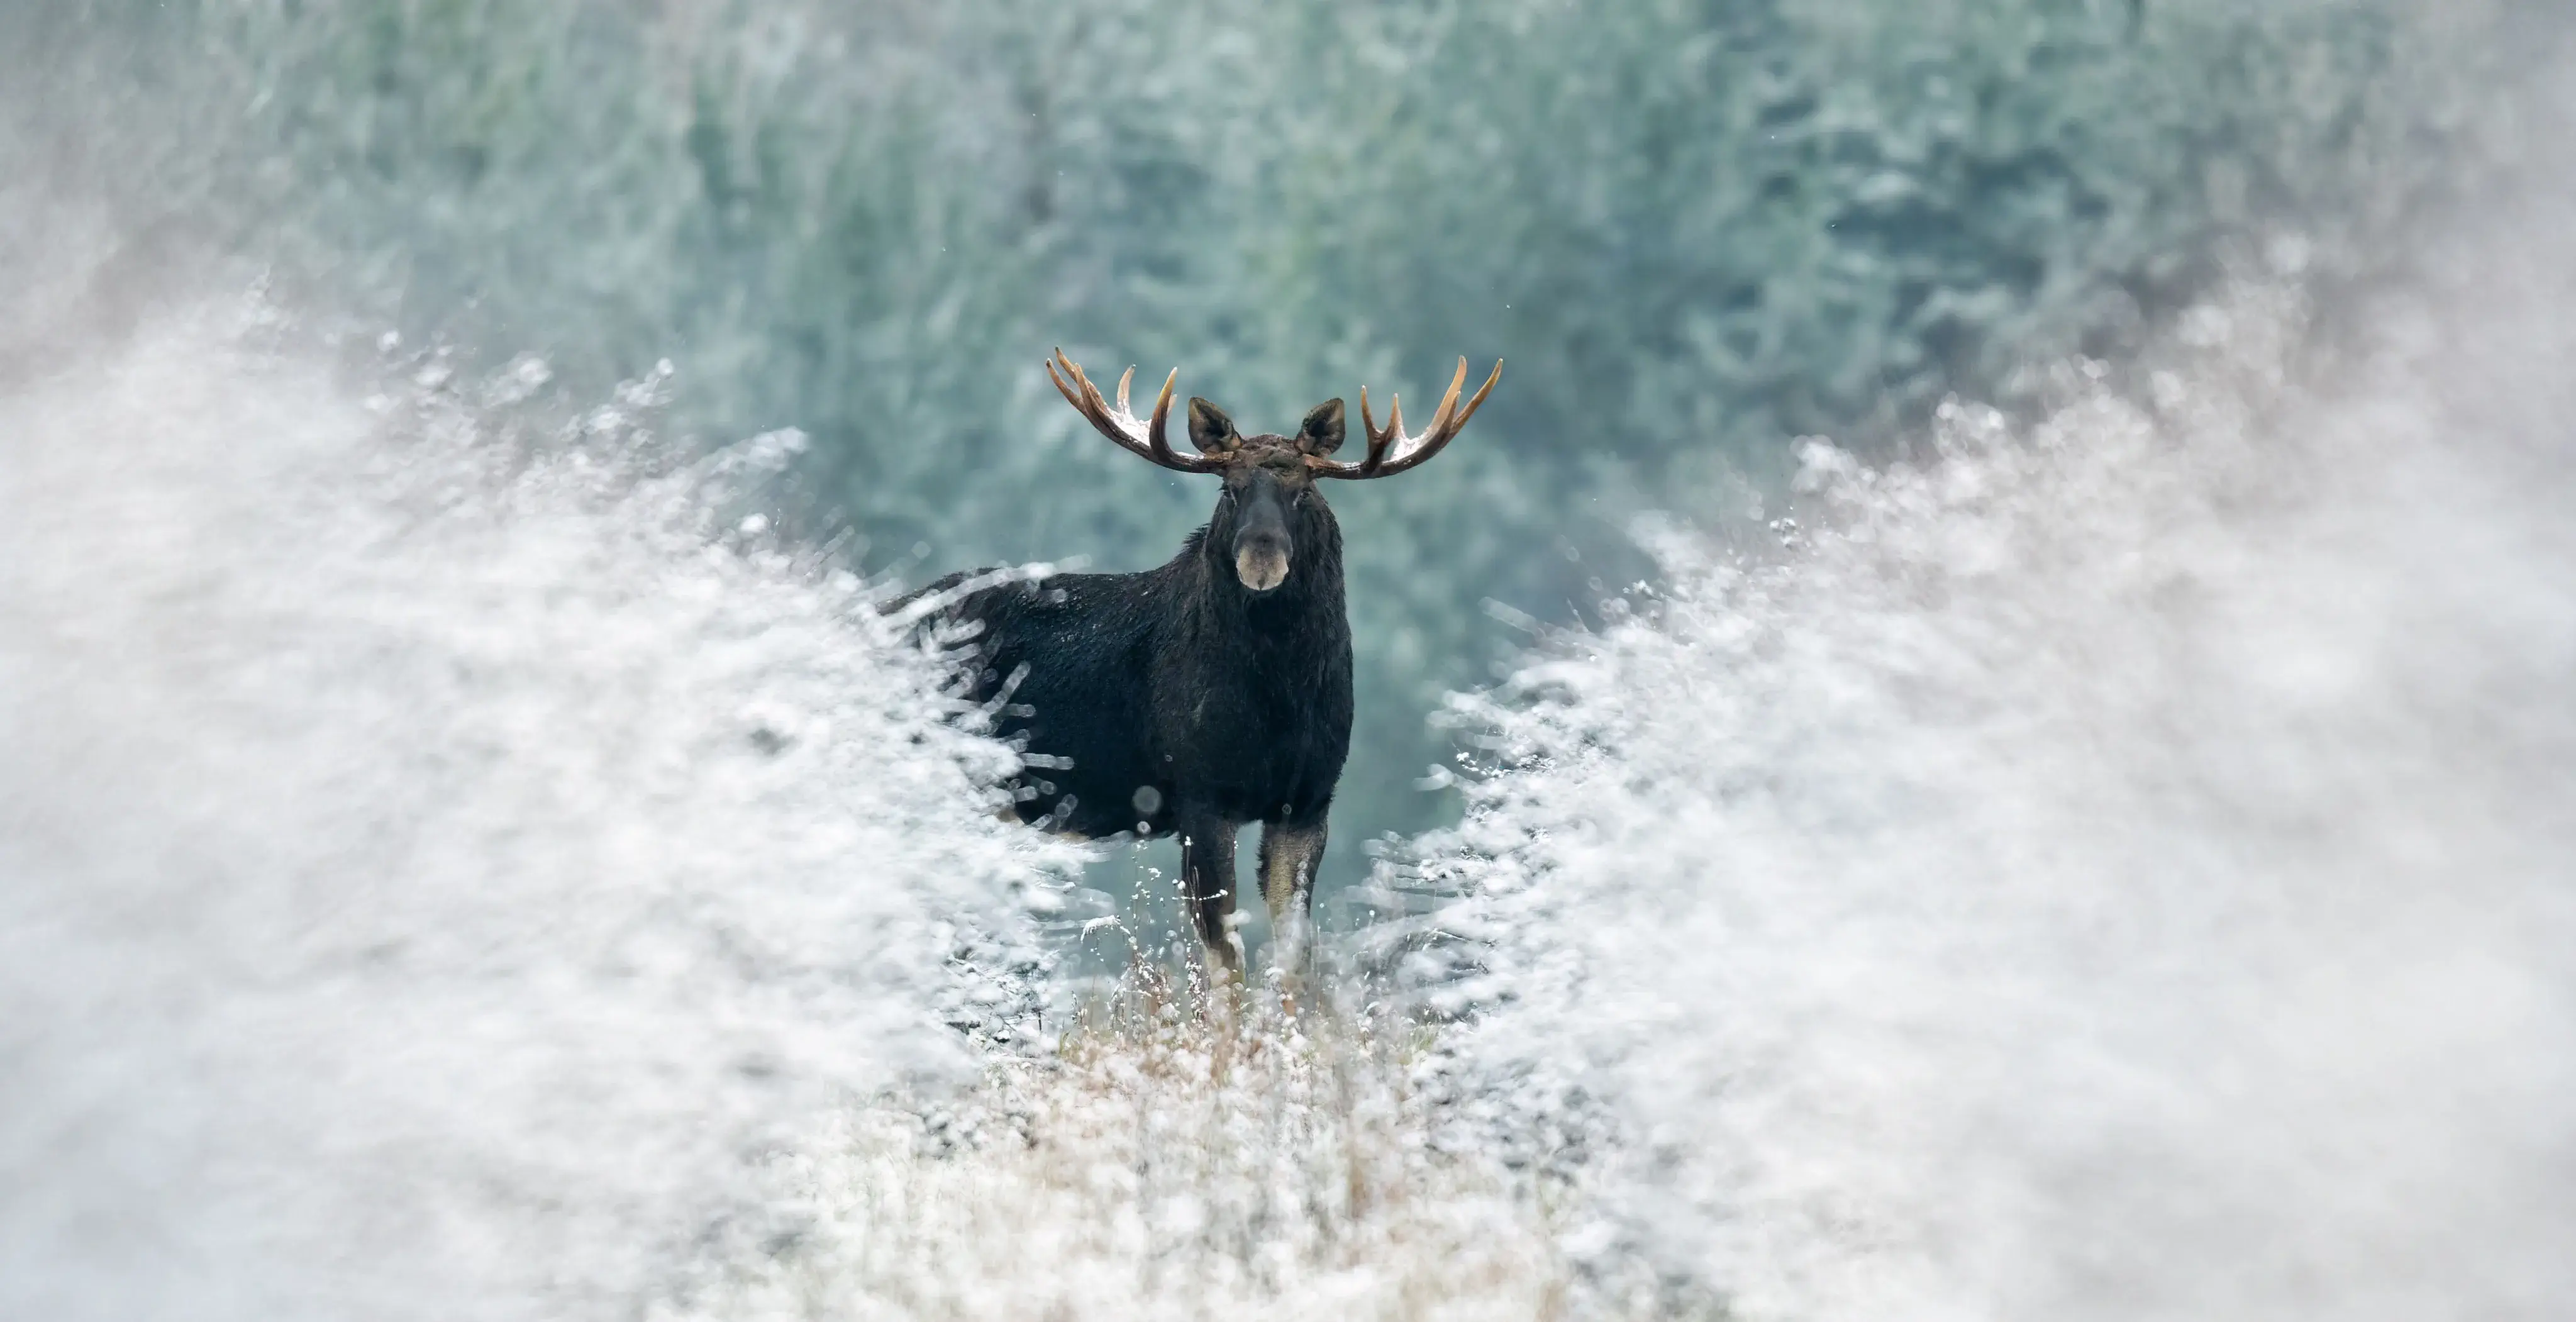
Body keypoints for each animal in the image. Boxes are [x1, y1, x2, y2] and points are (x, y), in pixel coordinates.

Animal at [901, 349, 1500, 980]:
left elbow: (1294, 957)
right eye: (1230, 491)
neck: (1279, 699)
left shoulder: (1308, 801)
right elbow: (1225, 960)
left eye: (1302, 492)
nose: (1260, 557)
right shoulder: (1201, 795)